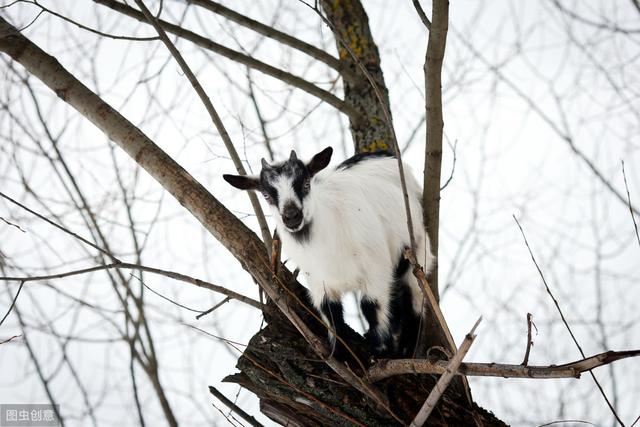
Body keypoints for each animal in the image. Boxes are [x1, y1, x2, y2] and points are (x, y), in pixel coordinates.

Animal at [224, 147, 436, 358]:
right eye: (266, 196)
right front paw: (339, 352)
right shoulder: (319, 280)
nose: (292, 217)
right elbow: (330, 312)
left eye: (306, 184)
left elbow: (370, 306)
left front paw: (381, 352)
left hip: (416, 251)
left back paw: (408, 349)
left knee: (414, 299)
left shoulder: (376, 270)